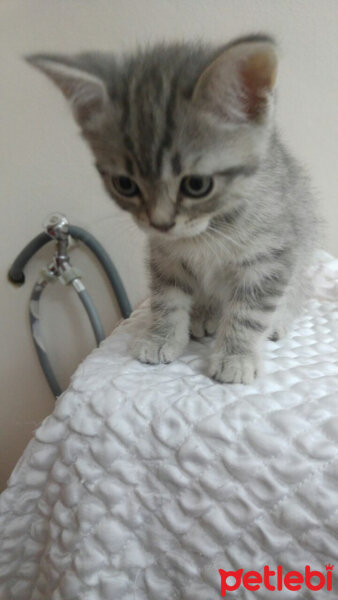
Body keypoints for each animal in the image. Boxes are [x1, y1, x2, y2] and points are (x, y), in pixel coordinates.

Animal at [27, 36, 318, 384]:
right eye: (124, 184)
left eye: (197, 185)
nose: (161, 223)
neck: (208, 228)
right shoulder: (164, 256)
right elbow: (167, 298)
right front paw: (161, 337)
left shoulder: (271, 255)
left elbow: (249, 311)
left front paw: (237, 355)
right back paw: (205, 313)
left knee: (297, 292)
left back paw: (276, 320)